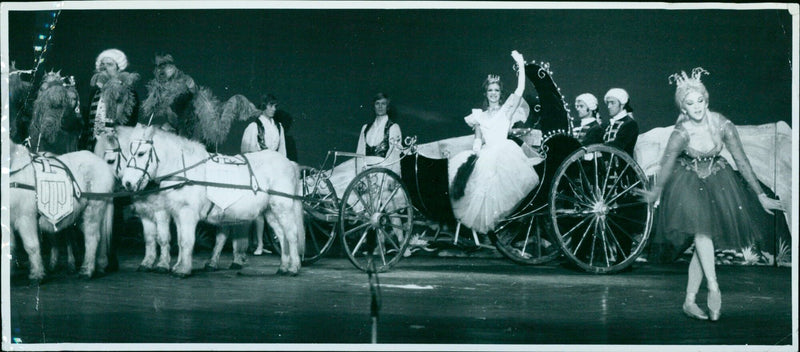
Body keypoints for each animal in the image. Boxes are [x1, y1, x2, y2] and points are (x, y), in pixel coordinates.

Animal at [8, 142, 115, 282]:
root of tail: (103, 164)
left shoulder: (26, 217)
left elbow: (31, 246)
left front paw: (37, 275)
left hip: (93, 209)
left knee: (92, 238)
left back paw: (86, 271)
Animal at [120, 125, 304, 276]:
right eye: (127, 153)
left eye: (141, 153)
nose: (127, 183)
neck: (186, 171)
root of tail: (290, 163)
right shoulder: (178, 214)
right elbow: (180, 240)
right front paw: (178, 265)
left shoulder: (186, 213)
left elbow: (186, 241)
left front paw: (182, 270)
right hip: (271, 212)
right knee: (282, 235)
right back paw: (283, 267)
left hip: (283, 208)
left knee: (291, 234)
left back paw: (293, 268)